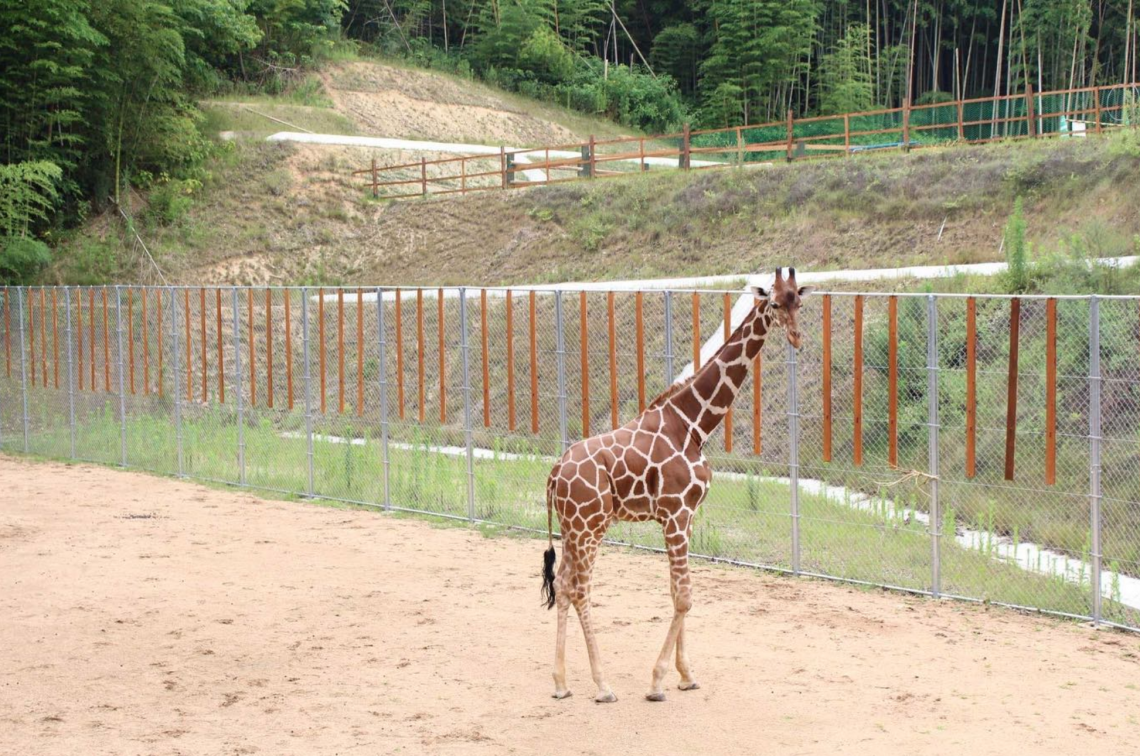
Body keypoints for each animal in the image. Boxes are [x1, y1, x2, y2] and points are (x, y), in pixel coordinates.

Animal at [540, 267, 816, 702]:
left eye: (798, 301)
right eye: (774, 302)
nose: (796, 337)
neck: (693, 424)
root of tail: (553, 473)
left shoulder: (683, 517)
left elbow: (676, 592)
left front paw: (686, 675)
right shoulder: (676, 513)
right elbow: (685, 597)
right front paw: (657, 682)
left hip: (573, 529)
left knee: (565, 585)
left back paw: (561, 683)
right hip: (589, 527)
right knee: (581, 589)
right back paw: (602, 685)